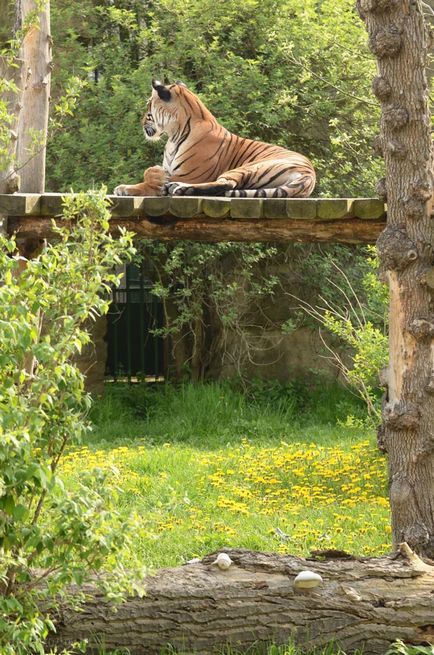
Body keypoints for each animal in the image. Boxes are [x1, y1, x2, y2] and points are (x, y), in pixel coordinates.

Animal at [112, 80, 316, 197]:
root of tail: (309, 174)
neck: (174, 135)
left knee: (226, 182)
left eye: (148, 107)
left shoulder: (191, 174)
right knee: (228, 186)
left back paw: (180, 188)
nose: (140, 122)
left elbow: (149, 176)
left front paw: (140, 181)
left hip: (250, 166)